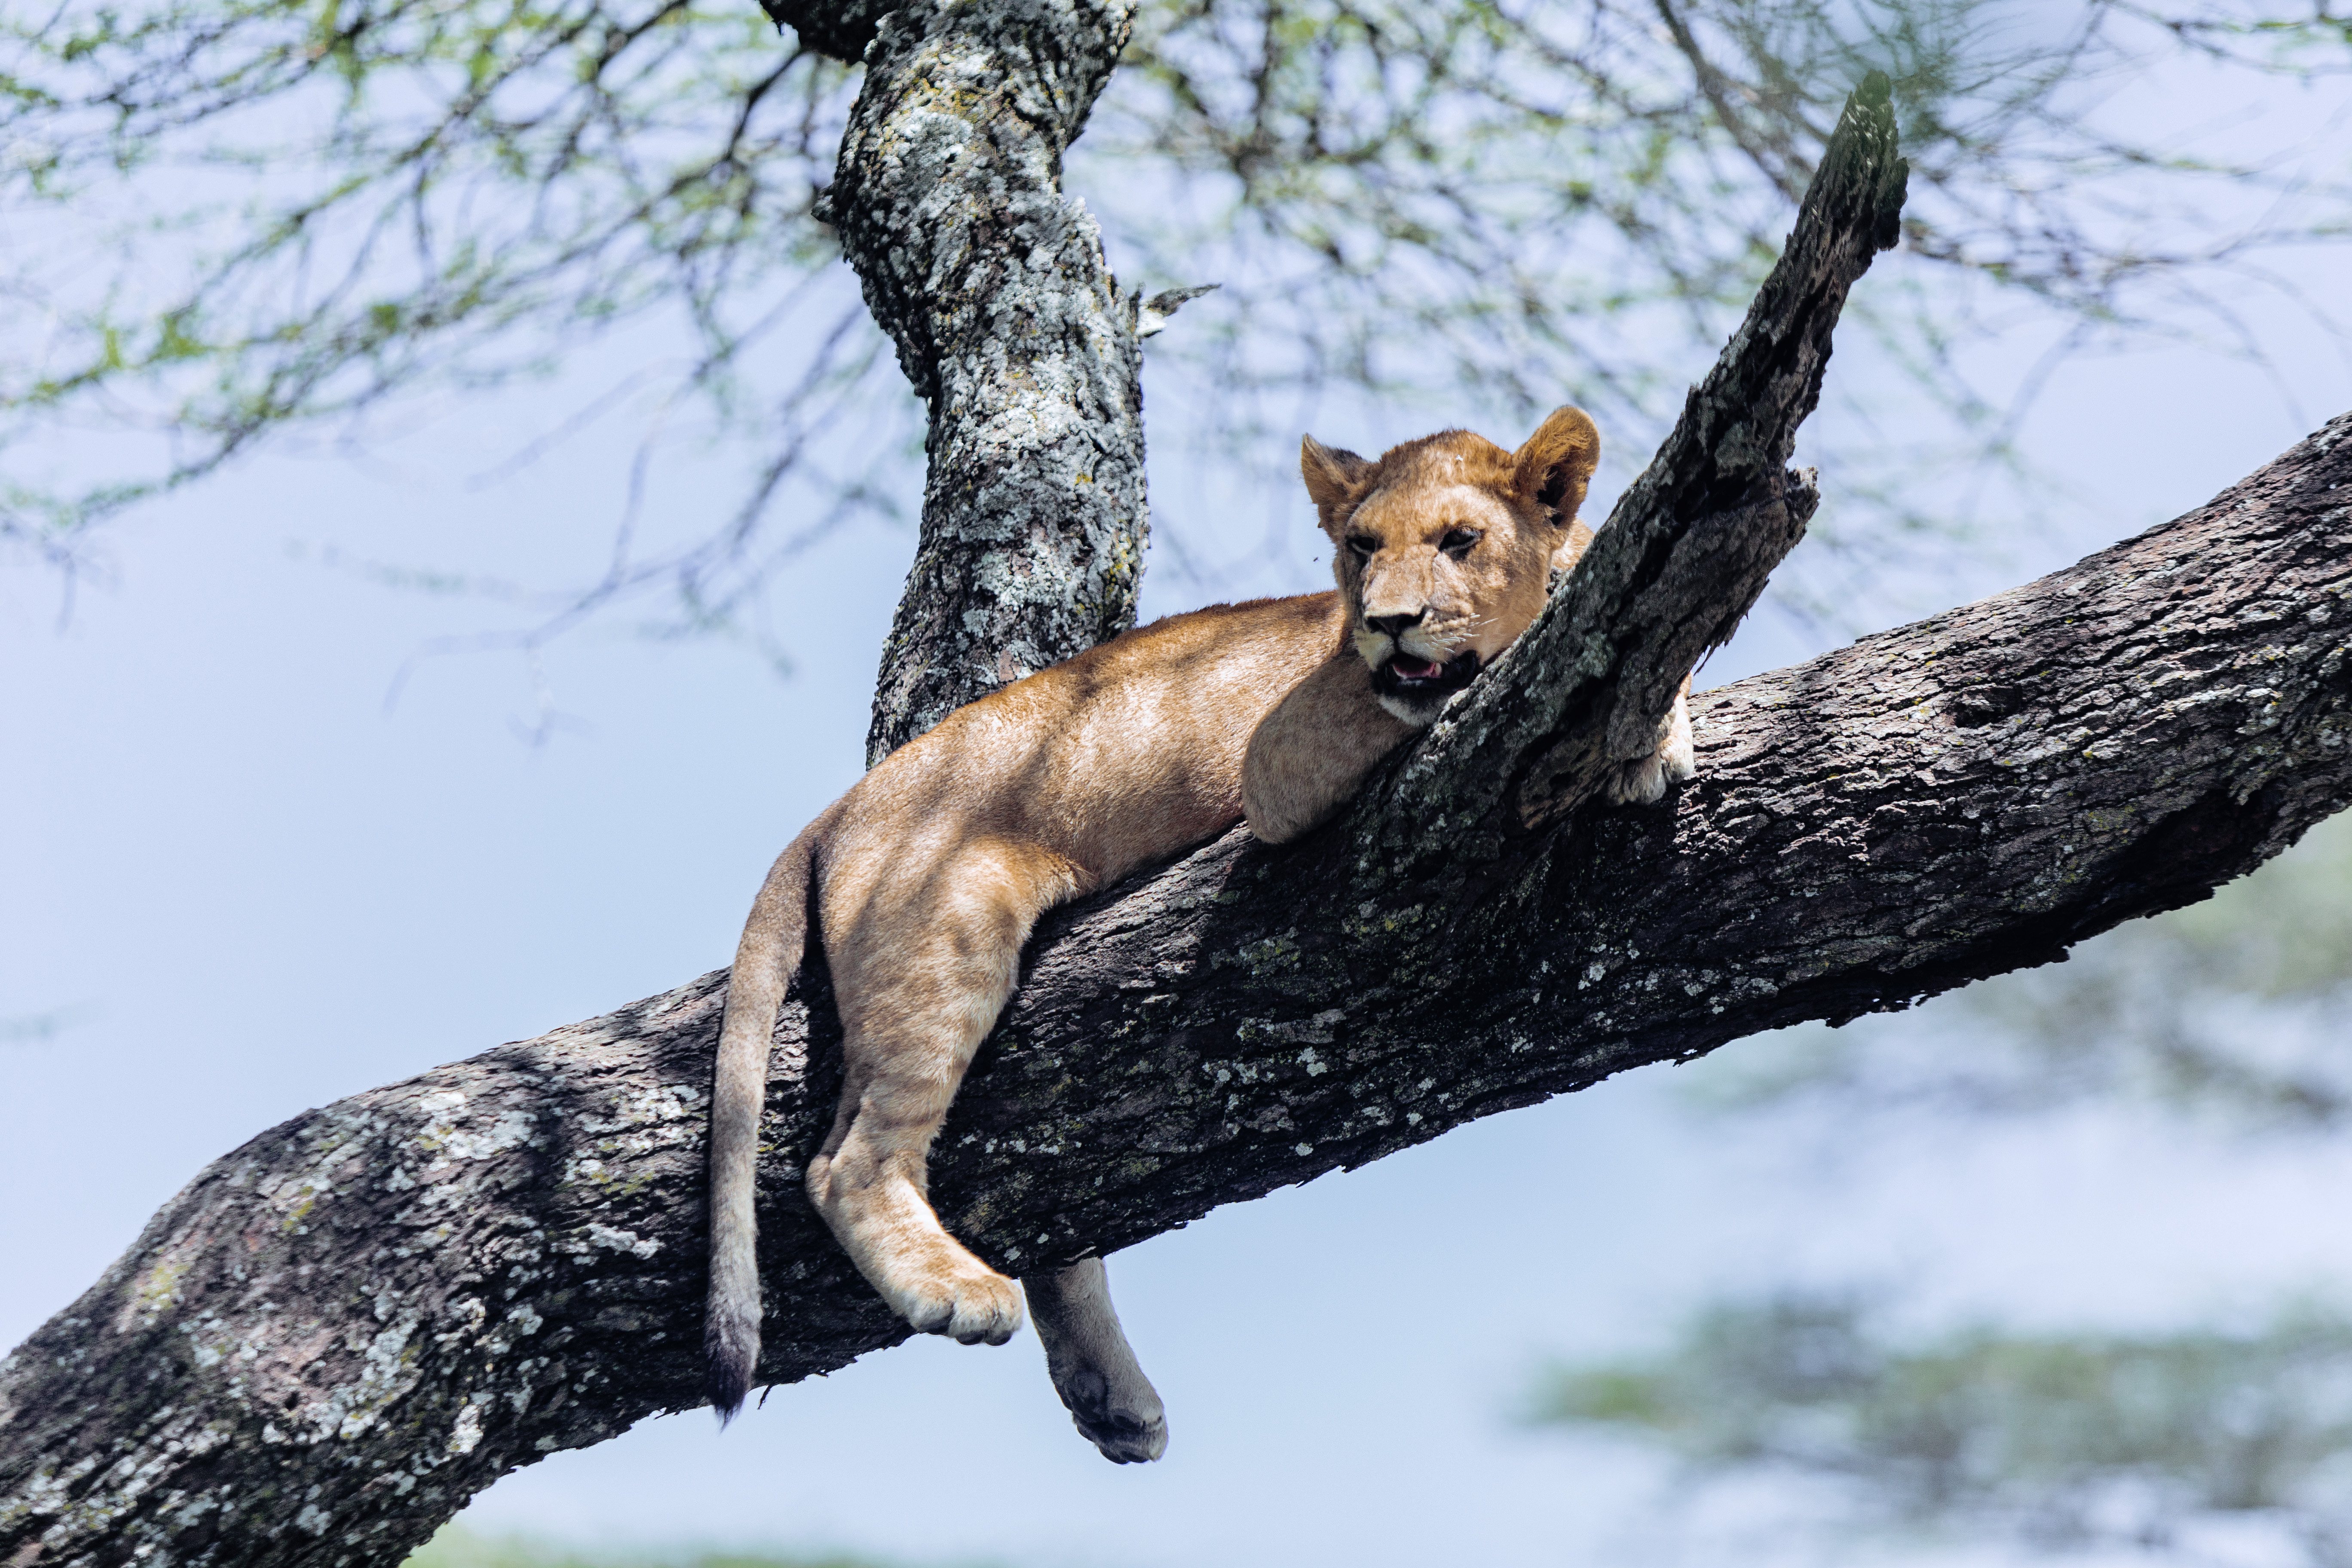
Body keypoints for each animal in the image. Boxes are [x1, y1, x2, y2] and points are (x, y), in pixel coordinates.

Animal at [704, 406, 1693, 1463]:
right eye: (1360, 547)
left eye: (1460, 541)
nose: (1387, 624)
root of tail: (843, 806)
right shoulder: (1283, 758)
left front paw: (1653, 739)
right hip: (945, 929)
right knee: (847, 1161)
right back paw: (958, 1291)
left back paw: (1111, 1397)